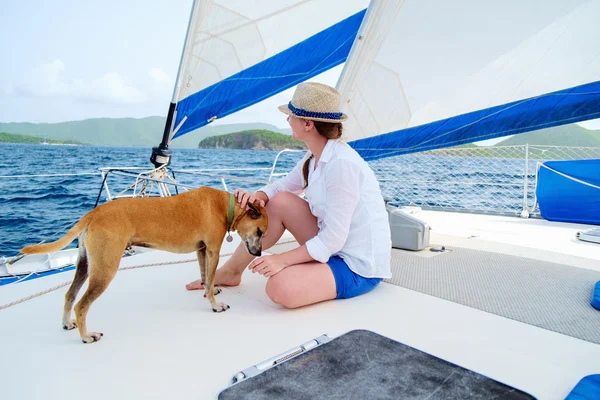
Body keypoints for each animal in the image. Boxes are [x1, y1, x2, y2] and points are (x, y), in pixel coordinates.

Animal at [20, 186, 268, 342]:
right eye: (260, 231)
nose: (258, 253)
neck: (224, 205)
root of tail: (93, 213)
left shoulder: (202, 250)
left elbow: (205, 276)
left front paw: (210, 290)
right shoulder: (213, 251)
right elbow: (210, 276)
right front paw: (215, 305)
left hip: (85, 265)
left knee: (70, 295)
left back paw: (66, 323)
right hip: (105, 269)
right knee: (82, 305)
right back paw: (87, 336)